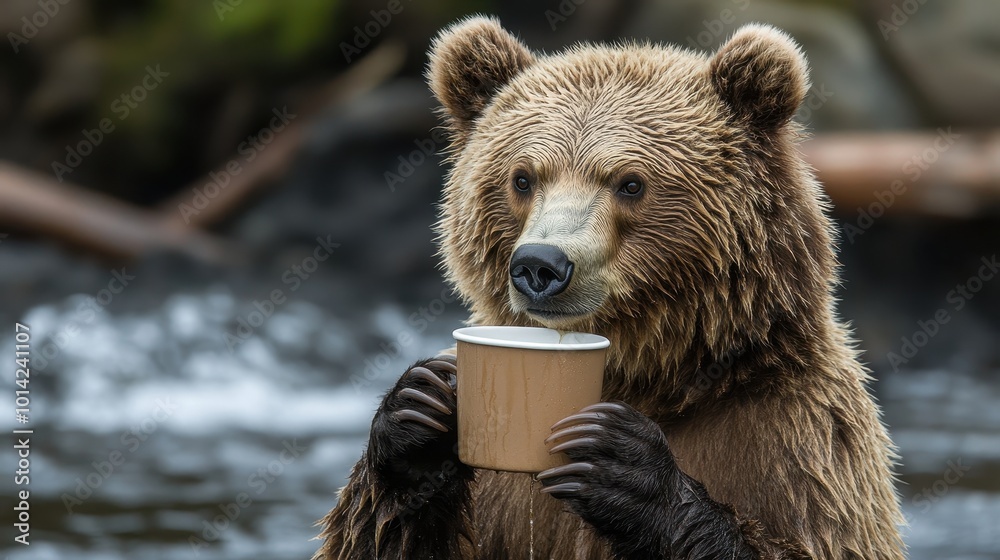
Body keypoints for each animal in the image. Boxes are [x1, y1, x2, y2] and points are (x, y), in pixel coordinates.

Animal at [314, 17, 905, 560]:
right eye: (522, 177)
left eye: (631, 183)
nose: (541, 264)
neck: (651, 373)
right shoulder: (500, 500)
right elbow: (377, 534)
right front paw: (418, 416)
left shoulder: (797, 436)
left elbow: (808, 540)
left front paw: (626, 467)